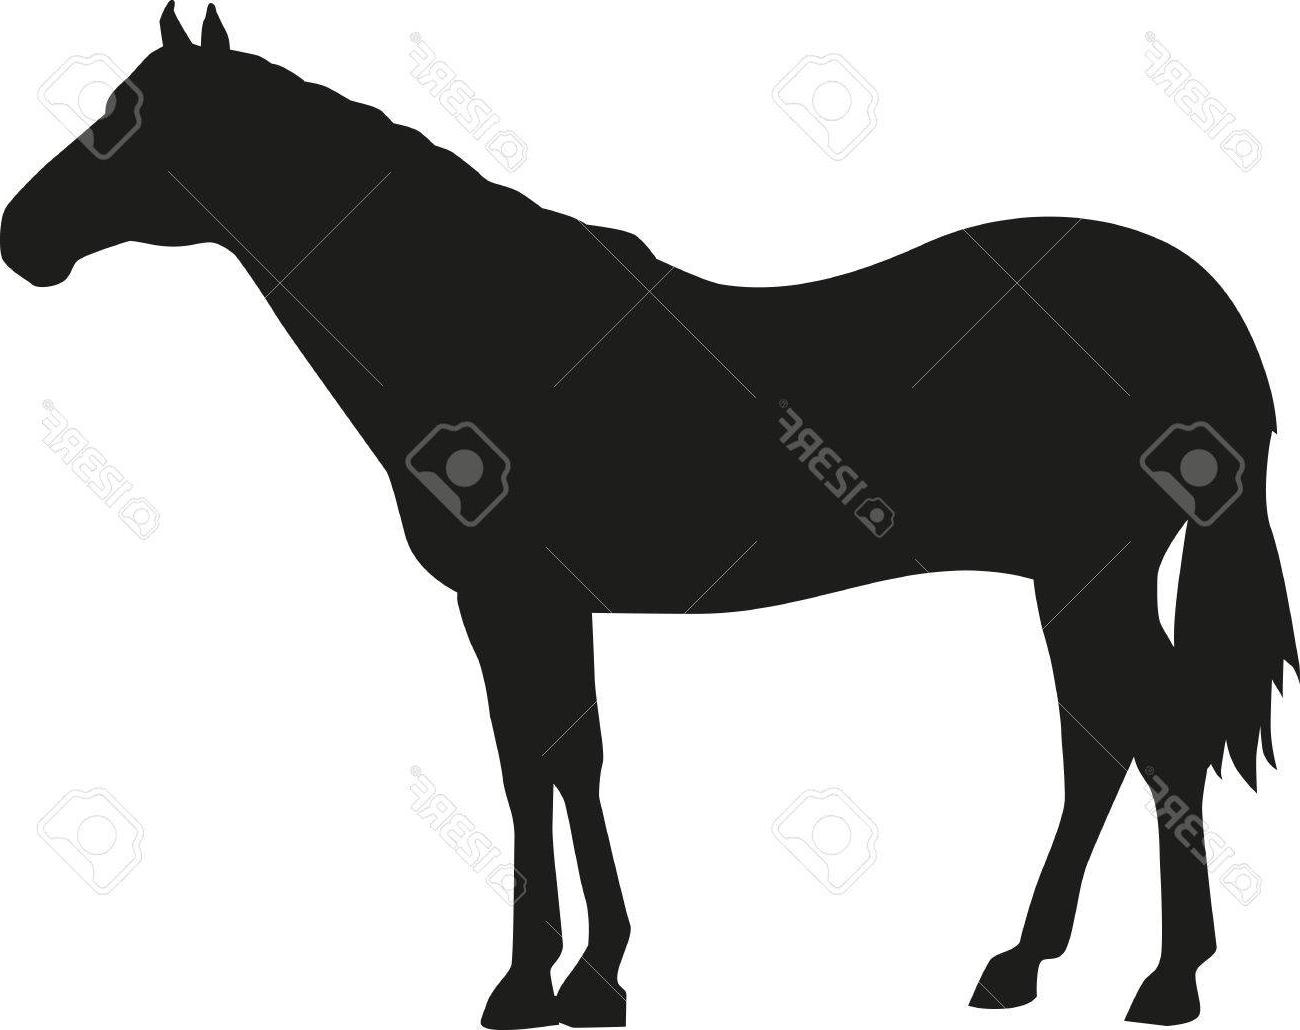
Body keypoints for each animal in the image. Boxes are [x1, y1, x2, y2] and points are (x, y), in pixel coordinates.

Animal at [4, 5, 1294, 1026]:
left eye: (123, 119)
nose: (21, 239)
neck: (477, 319)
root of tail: (1201, 308)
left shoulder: (512, 594)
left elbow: (539, 765)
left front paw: (543, 983)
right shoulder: (541, 604)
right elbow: (559, 762)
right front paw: (585, 976)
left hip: (1092, 567)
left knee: (1156, 735)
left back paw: (1166, 982)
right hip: (1076, 575)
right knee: (1103, 741)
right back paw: (1024, 960)